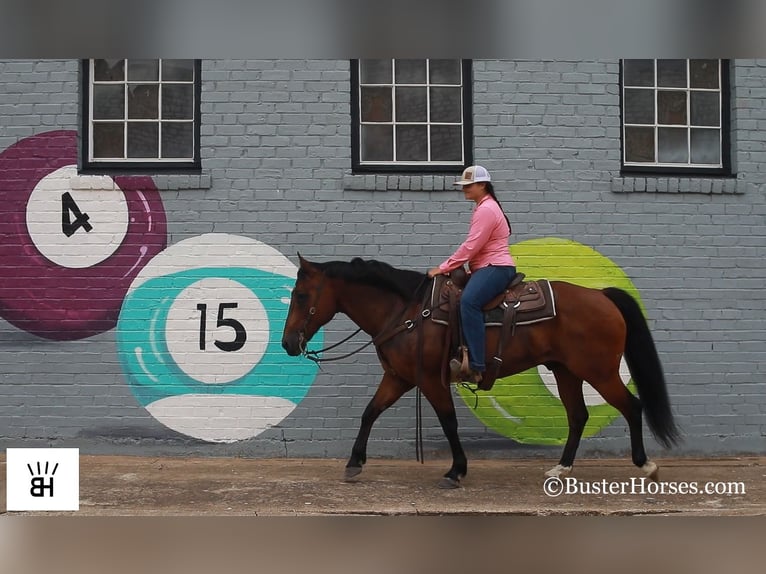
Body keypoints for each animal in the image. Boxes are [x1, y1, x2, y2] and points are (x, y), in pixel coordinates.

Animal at [282, 258, 680, 490]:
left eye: (300, 295)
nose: (287, 343)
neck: (406, 312)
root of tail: (603, 296)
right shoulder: (399, 378)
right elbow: (370, 413)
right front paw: (354, 464)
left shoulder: (430, 380)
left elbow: (448, 422)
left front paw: (456, 470)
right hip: (566, 371)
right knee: (578, 416)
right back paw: (561, 469)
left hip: (599, 371)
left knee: (631, 406)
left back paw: (646, 466)